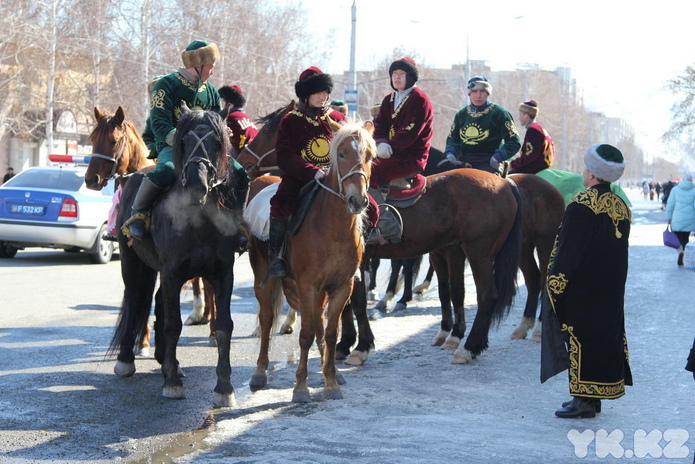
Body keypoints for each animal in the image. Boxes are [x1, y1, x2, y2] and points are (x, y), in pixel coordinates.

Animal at [110, 108, 243, 406]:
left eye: (217, 142)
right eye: (183, 141)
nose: (197, 186)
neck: (200, 221)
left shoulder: (223, 273)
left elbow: (224, 326)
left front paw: (224, 388)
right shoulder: (172, 272)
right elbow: (173, 324)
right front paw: (171, 383)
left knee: (157, 301)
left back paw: (166, 361)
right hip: (131, 263)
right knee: (135, 299)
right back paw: (126, 360)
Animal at [246, 124, 376, 402]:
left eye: (370, 156)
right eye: (341, 154)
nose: (357, 200)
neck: (332, 227)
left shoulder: (341, 286)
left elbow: (330, 332)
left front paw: (331, 382)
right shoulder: (307, 286)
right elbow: (305, 334)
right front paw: (301, 387)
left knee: (318, 322)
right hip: (264, 276)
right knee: (266, 319)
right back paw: (260, 372)